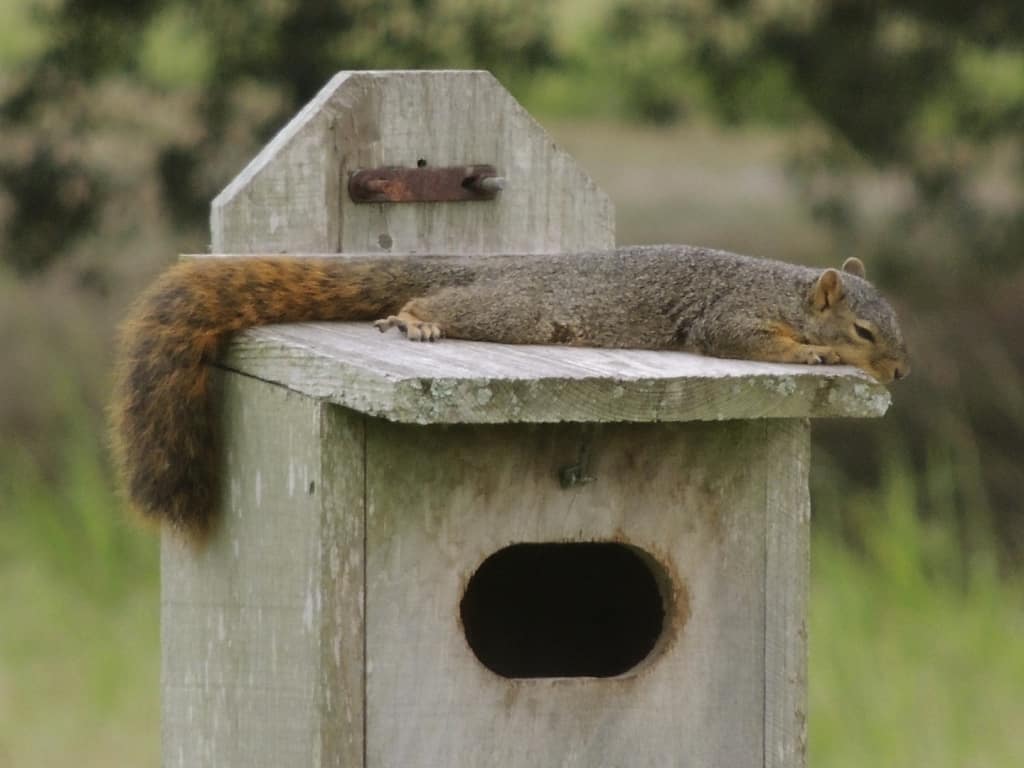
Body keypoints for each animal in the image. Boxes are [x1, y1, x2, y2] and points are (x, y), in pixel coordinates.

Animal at [112, 244, 909, 540]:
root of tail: (502, 264)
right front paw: (812, 352)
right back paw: (413, 317)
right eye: (866, 330)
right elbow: (749, 341)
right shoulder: (730, 318)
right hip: (510, 310)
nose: (901, 372)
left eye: (897, 325)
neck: (786, 291)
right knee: (440, 300)